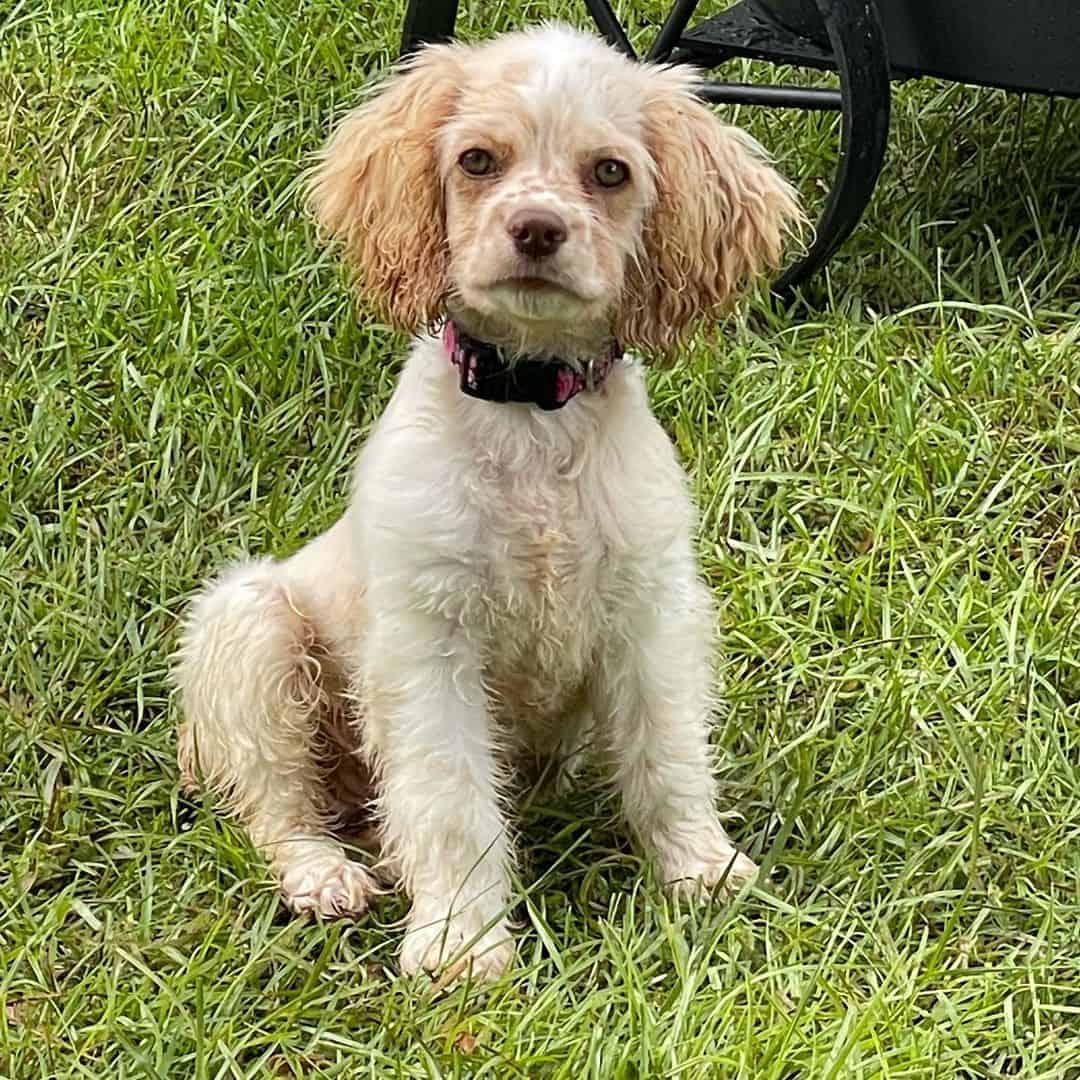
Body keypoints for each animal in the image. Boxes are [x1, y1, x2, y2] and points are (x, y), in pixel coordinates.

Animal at [174, 25, 803, 984]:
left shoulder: (651, 618)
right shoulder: (429, 647)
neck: (532, 413)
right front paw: (461, 945)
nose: (536, 229)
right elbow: (448, 798)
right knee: (279, 805)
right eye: (477, 161)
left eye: (609, 172)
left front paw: (700, 871)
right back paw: (326, 875)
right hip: (247, 630)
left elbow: (667, 755)